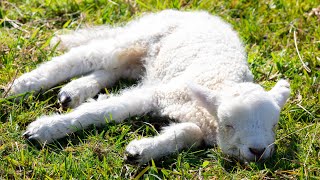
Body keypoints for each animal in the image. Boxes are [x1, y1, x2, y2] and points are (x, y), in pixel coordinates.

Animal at [6, 10, 290, 165]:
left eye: (274, 125)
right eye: (229, 125)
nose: (258, 151)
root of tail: (196, 12)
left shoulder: (195, 118)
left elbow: (187, 133)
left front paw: (140, 151)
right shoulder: (160, 93)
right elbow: (104, 110)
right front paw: (44, 130)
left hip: (146, 60)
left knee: (113, 69)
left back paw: (74, 91)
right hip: (137, 40)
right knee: (84, 56)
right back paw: (20, 86)